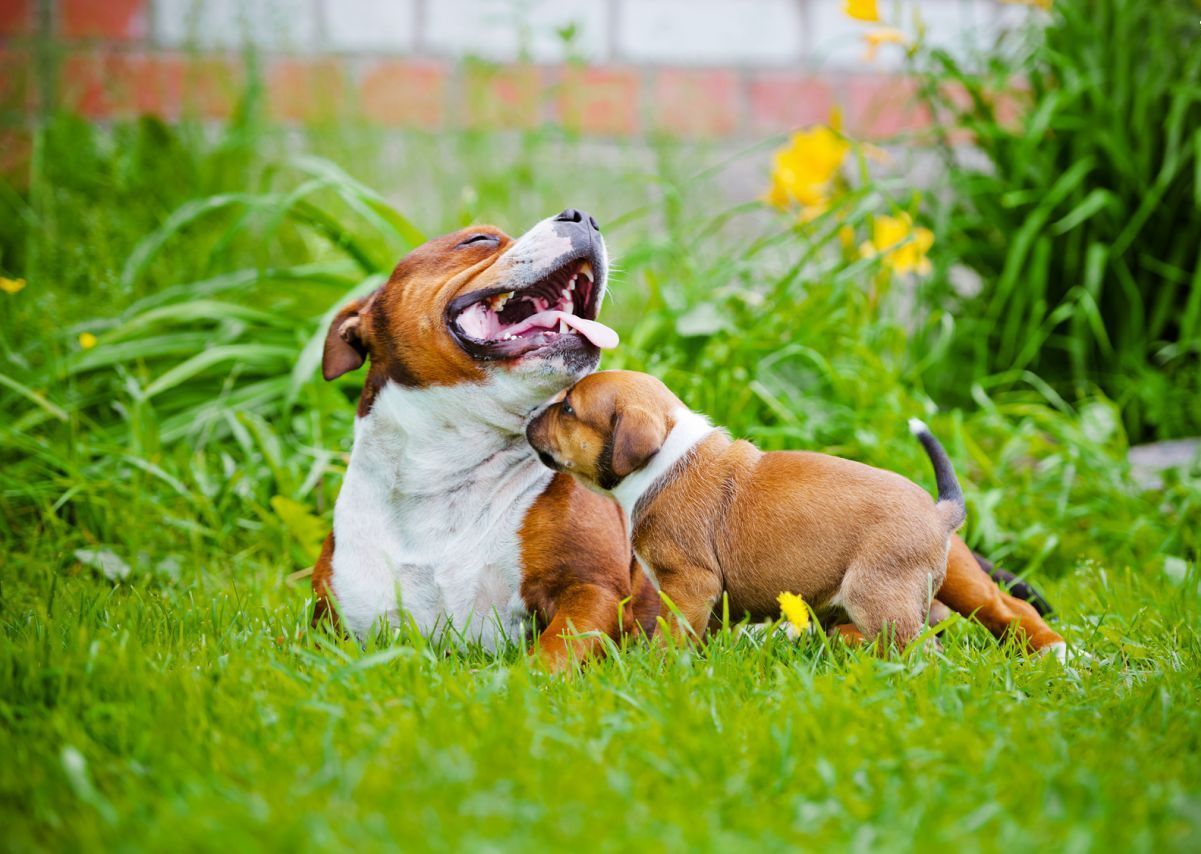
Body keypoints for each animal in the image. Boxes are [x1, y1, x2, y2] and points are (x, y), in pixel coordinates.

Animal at [528, 369, 1071, 658]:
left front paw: (657, 669)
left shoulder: (690, 582)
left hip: (882, 595)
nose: (531, 416)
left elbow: (673, 630)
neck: (664, 455)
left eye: (569, 410)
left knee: (941, 641)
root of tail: (941, 514)